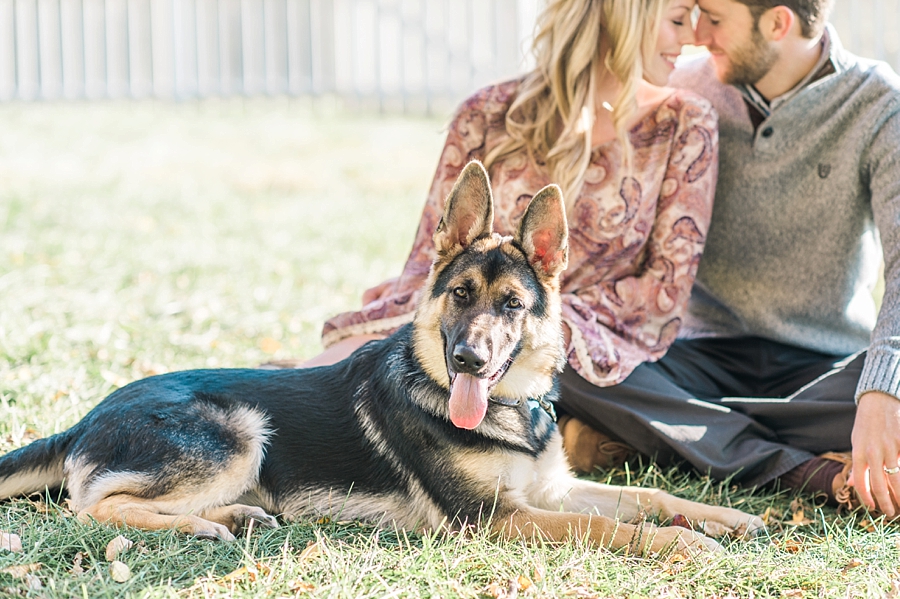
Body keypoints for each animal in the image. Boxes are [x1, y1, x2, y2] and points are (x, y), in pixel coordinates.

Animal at [0, 162, 760, 556]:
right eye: (460, 294)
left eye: (513, 304)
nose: (468, 360)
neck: (509, 409)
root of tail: (90, 415)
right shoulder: (498, 518)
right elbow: (605, 524)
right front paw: (686, 546)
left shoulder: (550, 490)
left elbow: (648, 496)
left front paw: (724, 520)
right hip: (242, 433)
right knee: (90, 507)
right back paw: (207, 522)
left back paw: (235, 517)